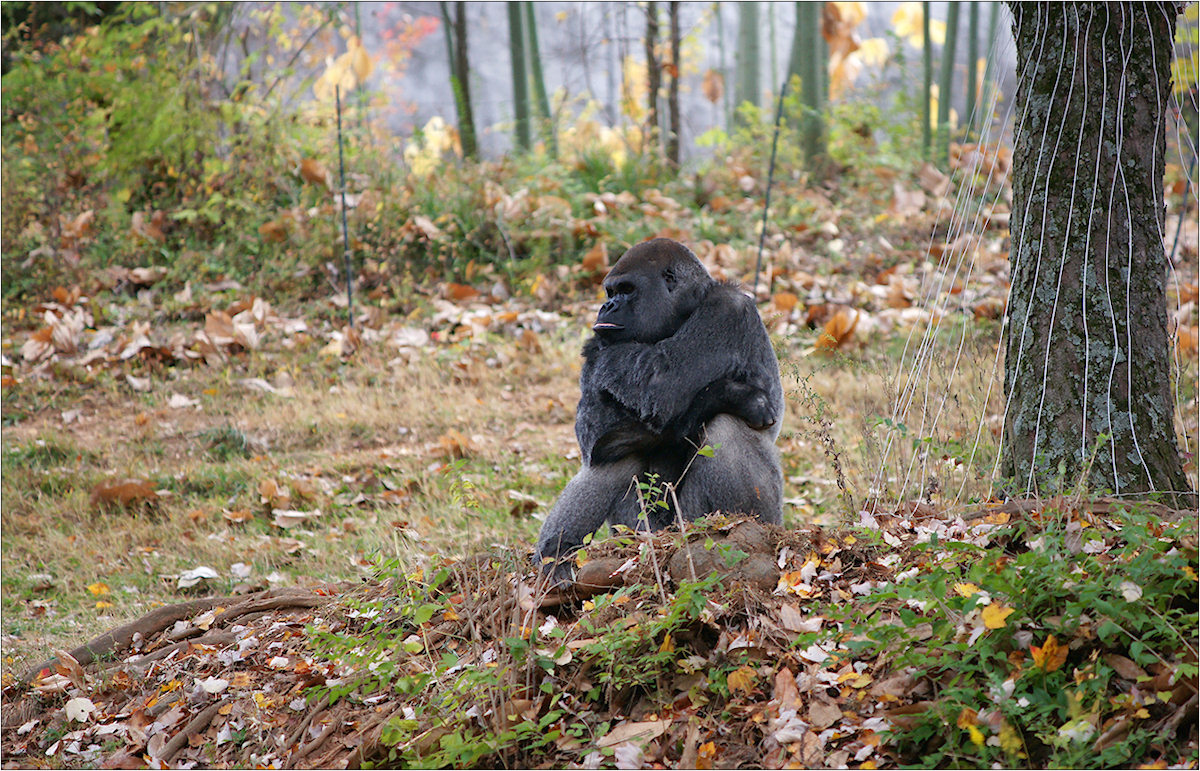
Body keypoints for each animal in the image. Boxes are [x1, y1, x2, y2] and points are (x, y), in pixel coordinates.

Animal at [537, 237, 787, 574]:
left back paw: (739, 526)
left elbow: (662, 383)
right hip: (643, 533)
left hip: (702, 523)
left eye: (627, 289)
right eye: (611, 293)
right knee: (613, 450)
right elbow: (594, 430)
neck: (686, 310)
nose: (607, 307)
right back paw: (555, 555)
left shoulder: (728, 310)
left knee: (724, 426)